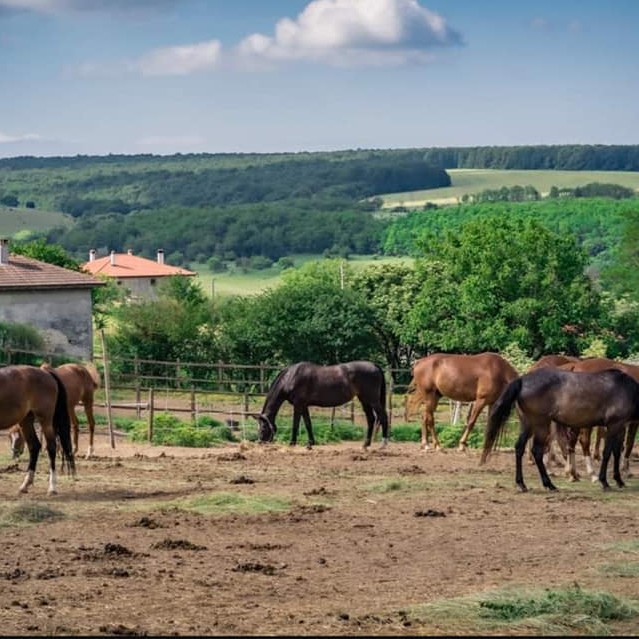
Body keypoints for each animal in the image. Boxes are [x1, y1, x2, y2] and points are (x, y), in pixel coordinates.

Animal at [0, 364, 75, 496]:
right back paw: (25, 485)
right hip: (26, 421)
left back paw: (52, 487)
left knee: (51, 447)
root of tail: (46, 373)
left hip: (45, 420)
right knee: (34, 446)